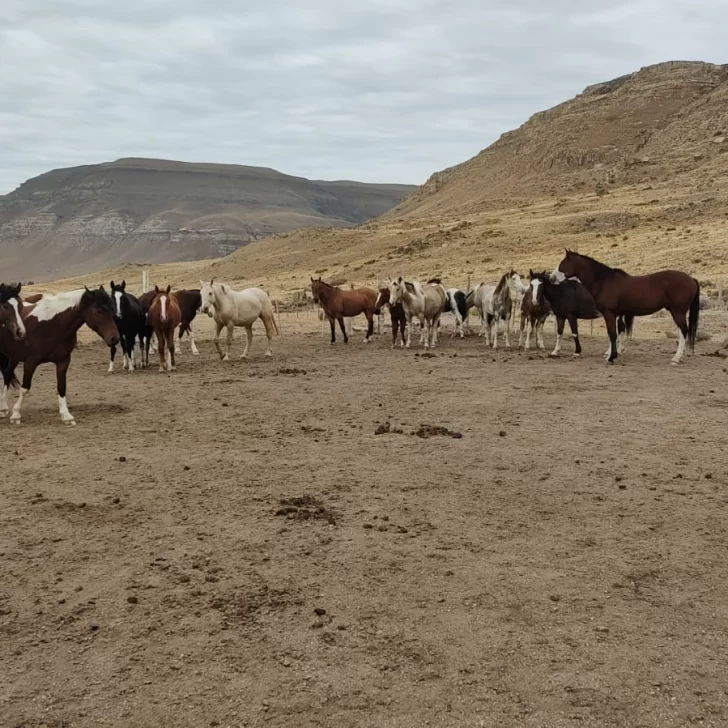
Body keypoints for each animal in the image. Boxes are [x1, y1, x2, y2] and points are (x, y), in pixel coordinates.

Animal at [0, 286, 118, 424]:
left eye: (112, 309)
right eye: (99, 311)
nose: (114, 338)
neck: (52, 324)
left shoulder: (63, 361)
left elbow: (61, 387)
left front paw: (66, 415)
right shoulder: (30, 362)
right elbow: (25, 388)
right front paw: (16, 414)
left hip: (13, 357)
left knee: (7, 374)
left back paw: (3, 408)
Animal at [556, 250, 700, 364]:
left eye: (562, 264)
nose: (552, 278)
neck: (604, 281)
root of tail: (692, 279)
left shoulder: (609, 314)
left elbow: (612, 334)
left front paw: (611, 357)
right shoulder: (616, 314)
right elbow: (616, 333)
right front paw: (612, 354)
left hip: (678, 312)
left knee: (684, 331)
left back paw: (676, 358)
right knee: (681, 331)